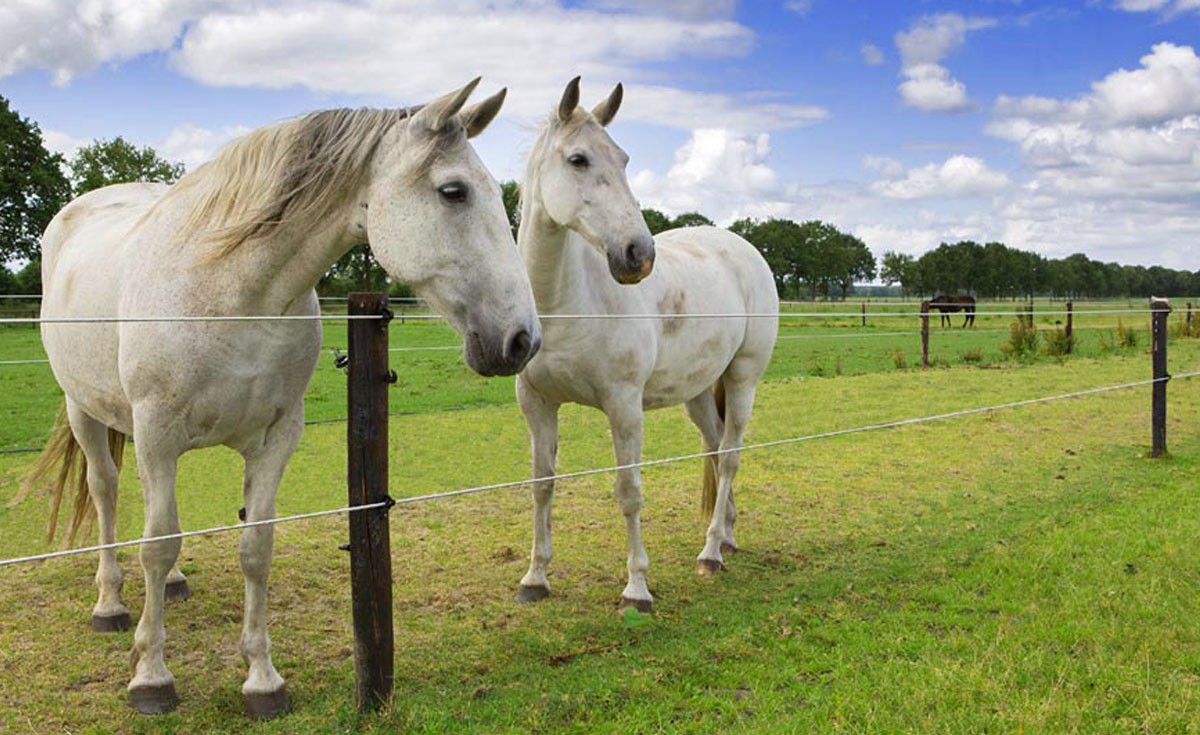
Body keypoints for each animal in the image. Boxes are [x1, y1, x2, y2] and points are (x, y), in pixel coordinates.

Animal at [24, 80, 540, 715]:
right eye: (453, 192)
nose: (521, 339)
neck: (232, 291)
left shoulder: (275, 437)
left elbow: (255, 547)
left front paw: (262, 678)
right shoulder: (157, 433)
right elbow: (157, 544)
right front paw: (151, 675)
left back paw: (172, 587)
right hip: (88, 413)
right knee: (107, 492)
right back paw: (111, 603)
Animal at [513, 77, 777, 612]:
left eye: (624, 159)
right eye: (578, 159)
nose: (639, 254)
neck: (565, 302)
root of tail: (743, 248)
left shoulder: (624, 406)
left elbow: (629, 490)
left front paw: (636, 588)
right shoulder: (537, 404)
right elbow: (542, 486)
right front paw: (535, 577)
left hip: (743, 378)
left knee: (731, 453)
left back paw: (711, 553)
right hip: (698, 393)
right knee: (715, 449)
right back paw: (725, 535)